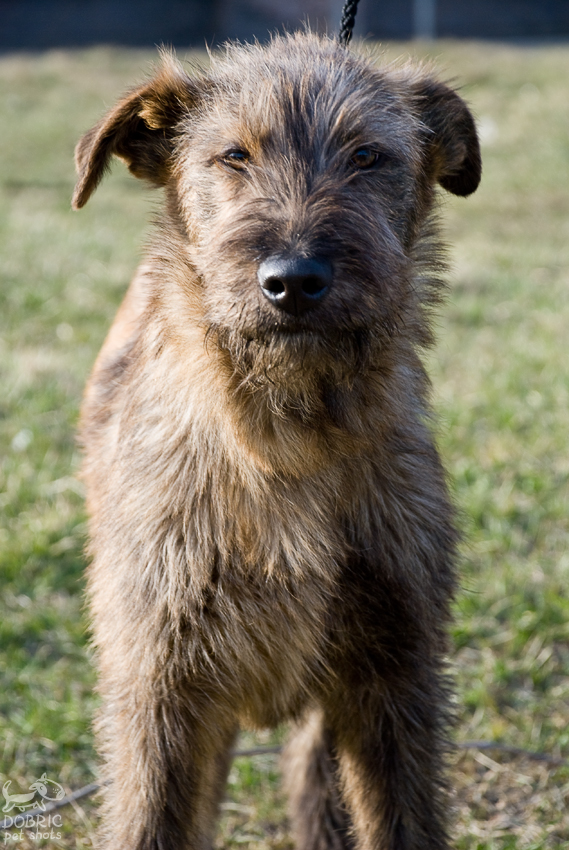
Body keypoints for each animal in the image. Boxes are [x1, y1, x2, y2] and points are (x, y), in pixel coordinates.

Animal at [72, 31, 480, 848]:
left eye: (366, 155)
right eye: (233, 155)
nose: (293, 280)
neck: (288, 436)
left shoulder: (396, 674)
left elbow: (402, 820)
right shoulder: (160, 686)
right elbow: (151, 821)